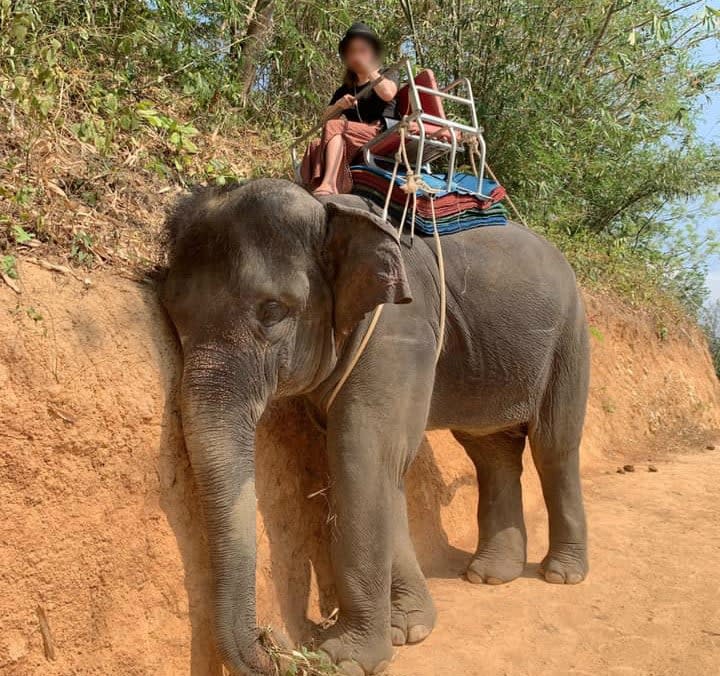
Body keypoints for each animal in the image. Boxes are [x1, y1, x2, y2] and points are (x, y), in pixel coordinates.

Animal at [162, 180, 592, 676]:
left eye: (273, 311)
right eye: (172, 313)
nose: (277, 644)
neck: (327, 209)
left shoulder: (400, 329)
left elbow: (362, 454)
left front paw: (346, 659)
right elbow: (381, 468)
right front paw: (408, 629)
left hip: (571, 337)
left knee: (554, 445)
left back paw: (561, 574)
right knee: (491, 450)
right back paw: (489, 575)